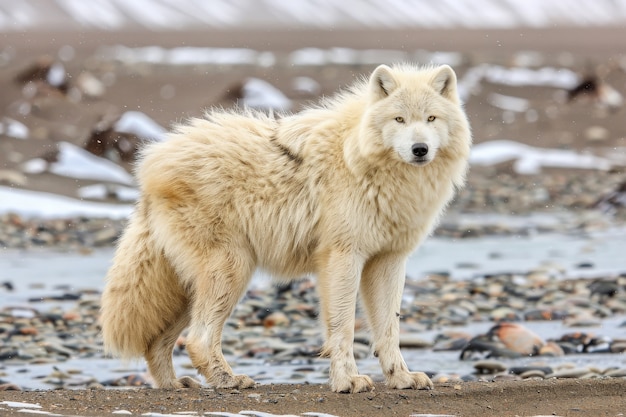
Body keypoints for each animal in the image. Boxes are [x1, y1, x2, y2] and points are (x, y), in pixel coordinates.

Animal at [98, 63, 468, 392]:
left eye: (431, 119)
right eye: (399, 119)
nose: (419, 149)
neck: (361, 160)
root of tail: (150, 163)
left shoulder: (388, 260)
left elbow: (389, 328)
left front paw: (401, 377)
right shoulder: (342, 257)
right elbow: (343, 327)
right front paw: (347, 381)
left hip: (190, 287)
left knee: (160, 342)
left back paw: (175, 385)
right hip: (232, 269)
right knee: (199, 339)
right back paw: (229, 381)